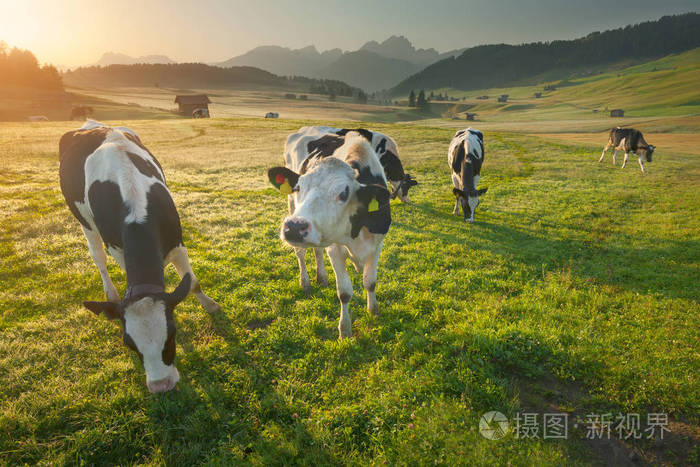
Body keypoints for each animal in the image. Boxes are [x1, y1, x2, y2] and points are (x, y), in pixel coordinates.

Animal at [58, 119, 219, 394]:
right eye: (129, 344)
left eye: (171, 335)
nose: (161, 385)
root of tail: (91, 124)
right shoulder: (118, 249)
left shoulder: (177, 244)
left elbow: (193, 282)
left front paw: (210, 305)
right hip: (84, 222)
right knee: (98, 258)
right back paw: (110, 293)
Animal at [266, 132, 392, 340]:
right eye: (298, 187)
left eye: (343, 194)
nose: (294, 227)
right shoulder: (335, 249)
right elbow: (344, 292)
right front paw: (345, 329)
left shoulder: (377, 243)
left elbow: (370, 282)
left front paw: (373, 311)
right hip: (292, 207)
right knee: (300, 253)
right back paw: (306, 282)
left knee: (317, 251)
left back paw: (322, 277)